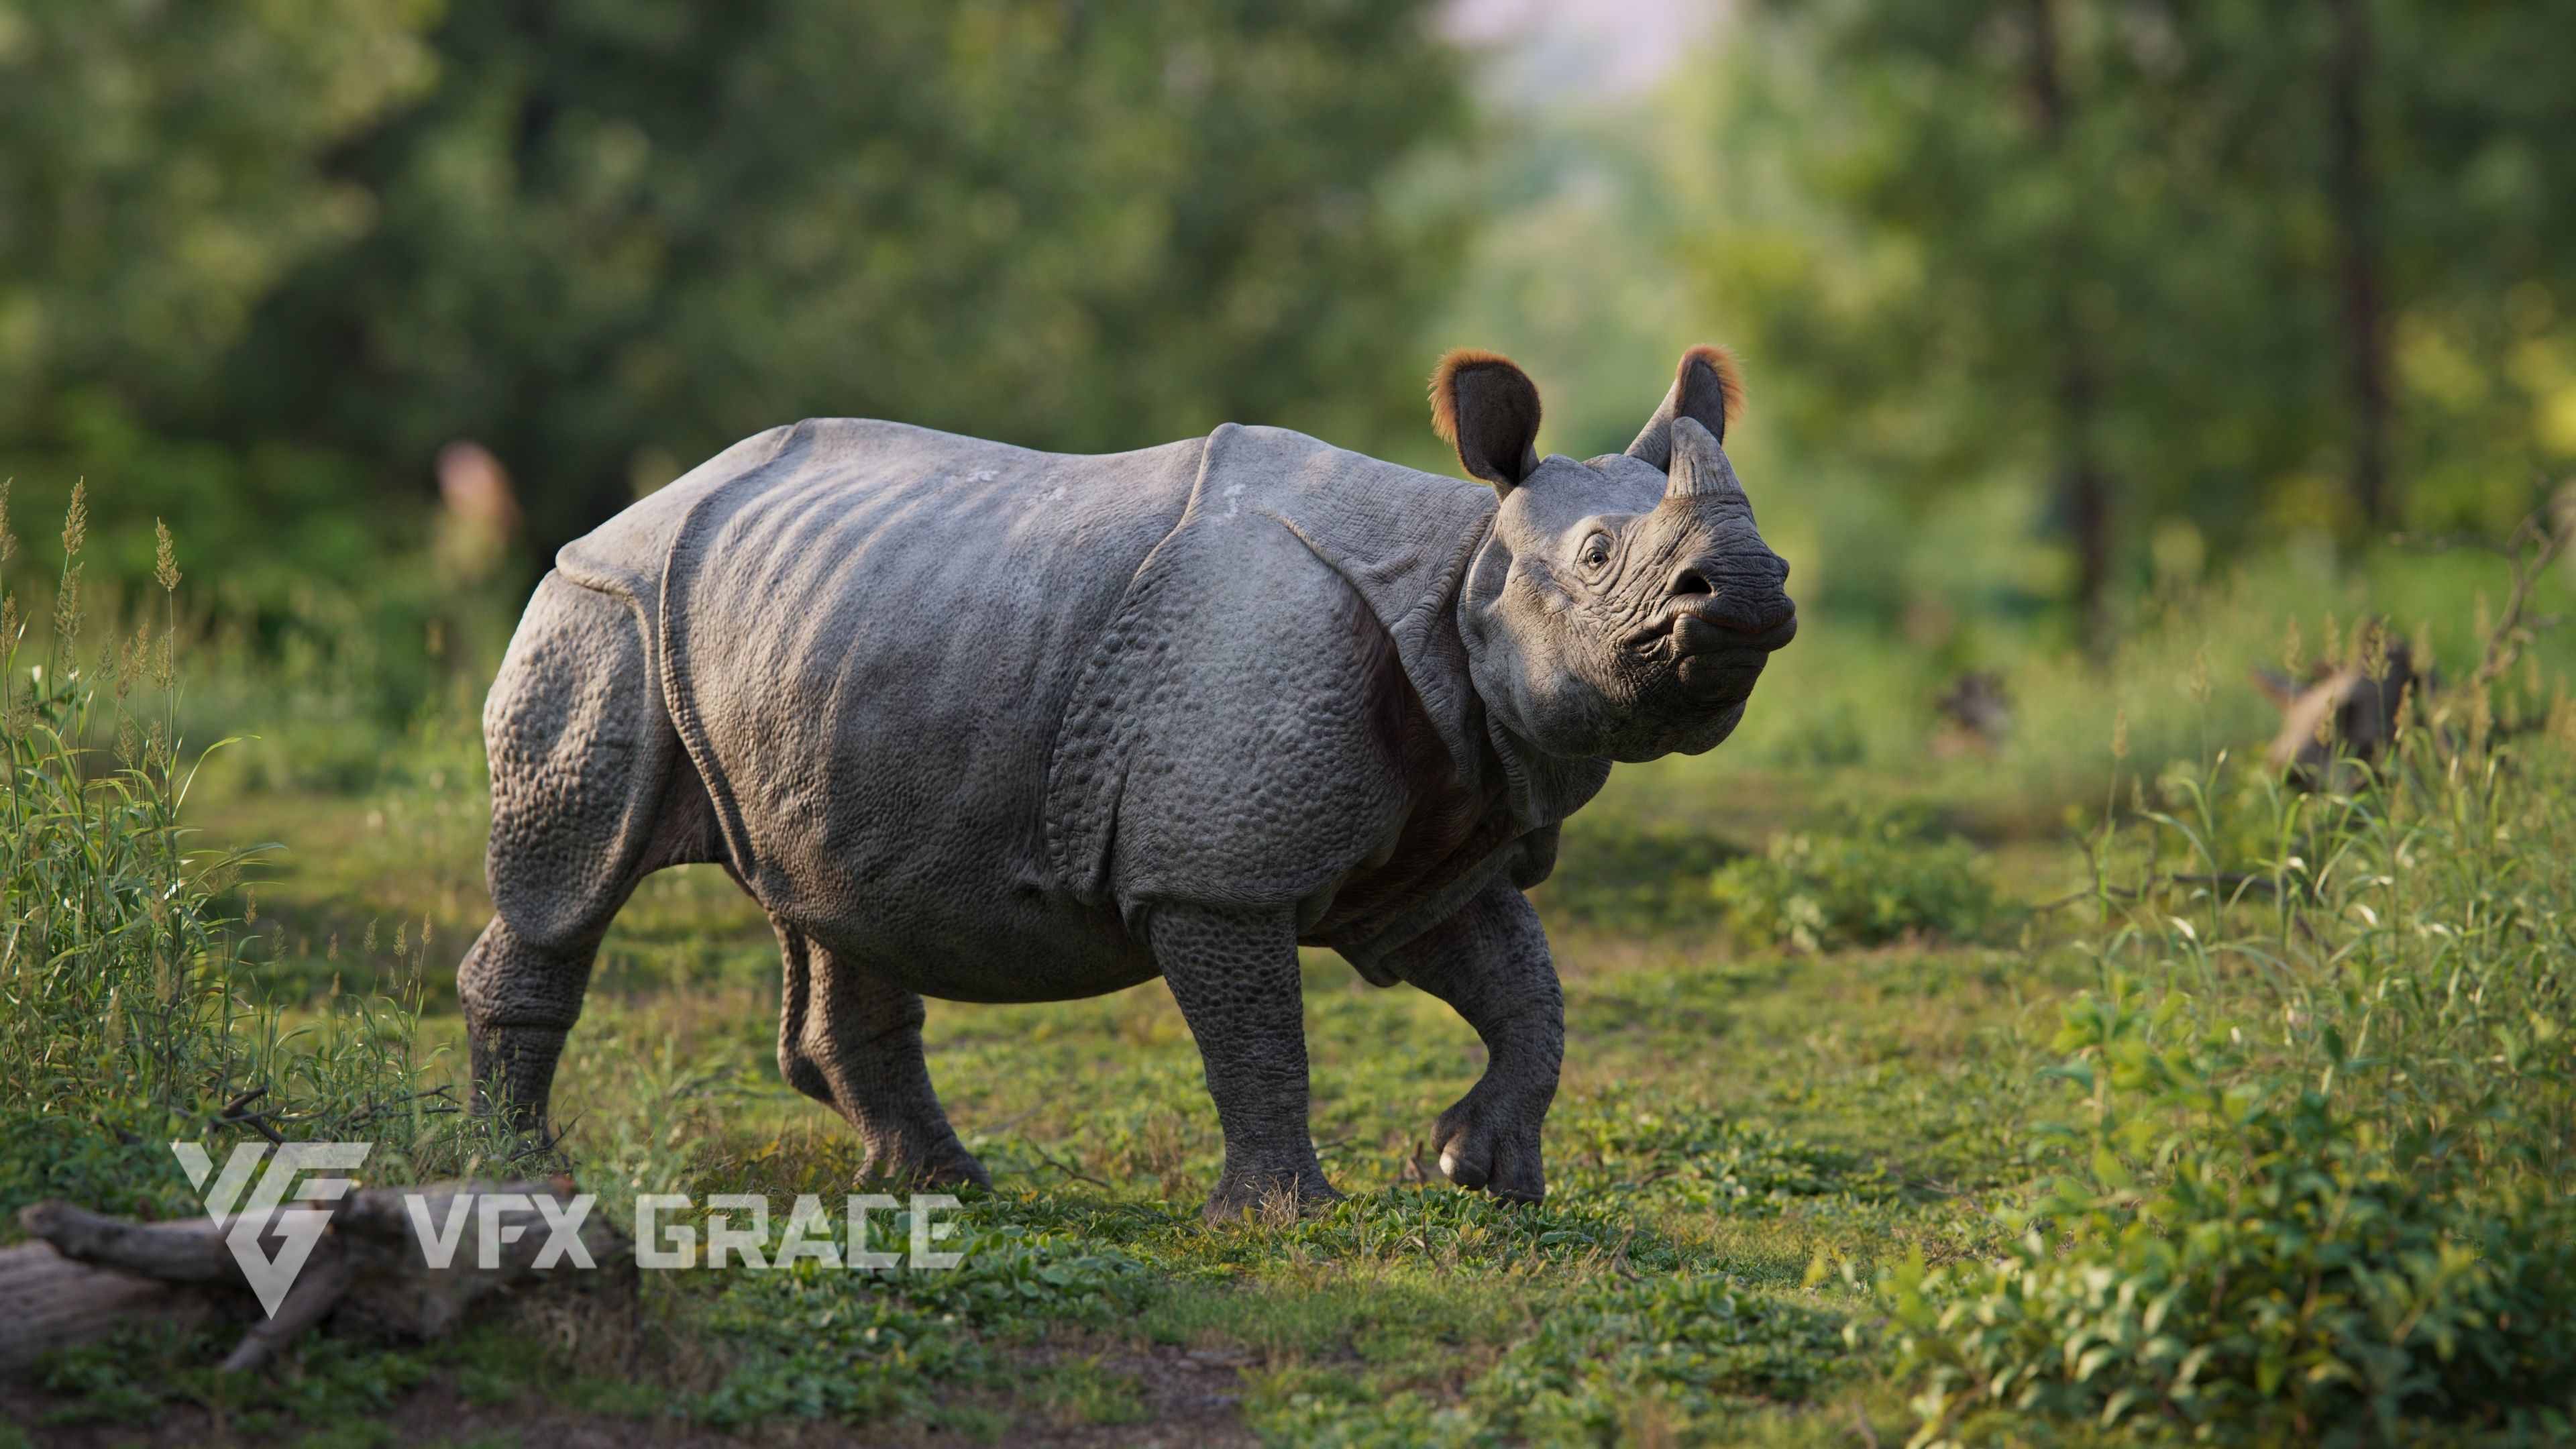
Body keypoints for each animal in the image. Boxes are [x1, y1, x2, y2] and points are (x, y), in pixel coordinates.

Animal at [458, 346, 1795, 1217]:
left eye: (1763, 546)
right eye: (1600, 555)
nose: (1752, 587)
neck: (1461, 569)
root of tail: (649, 500)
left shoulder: (1440, 822)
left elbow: (1524, 986)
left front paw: (1484, 1177)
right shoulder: (1215, 868)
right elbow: (1259, 1033)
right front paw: (1289, 1222)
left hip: (830, 633)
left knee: (825, 889)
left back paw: (944, 1188)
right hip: (605, 603)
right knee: (570, 879)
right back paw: (518, 1177)